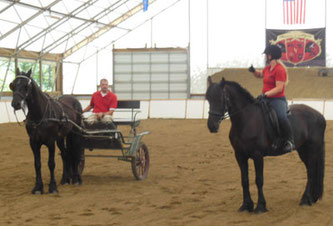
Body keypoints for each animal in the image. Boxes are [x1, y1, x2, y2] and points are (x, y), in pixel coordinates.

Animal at [205, 77, 324, 213]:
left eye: (220, 98)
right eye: (208, 98)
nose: (212, 126)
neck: (246, 120)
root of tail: (319, 115)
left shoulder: (257, 155)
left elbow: (259, 180)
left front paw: (261, 206)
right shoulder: (239, 155)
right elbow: (244, 180)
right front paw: (246, 205)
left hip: (312, 149)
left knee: (311, 171)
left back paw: (305, 199)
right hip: (303, 150)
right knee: (310, 170)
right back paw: (310, 198)